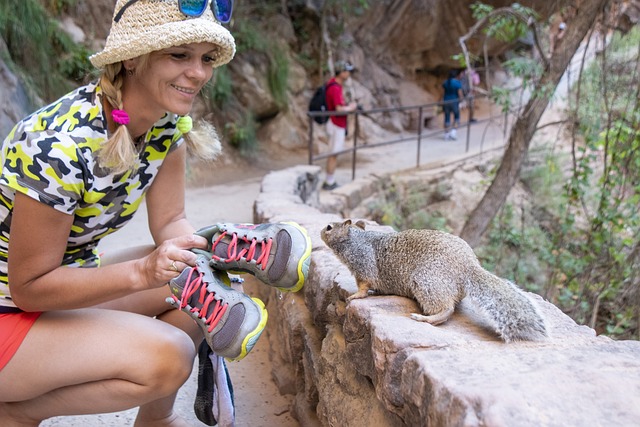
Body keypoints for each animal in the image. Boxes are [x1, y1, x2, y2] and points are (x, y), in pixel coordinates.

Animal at [322, 221, 548, 344]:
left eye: (329, 227)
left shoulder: (363, 266)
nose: (320, 231)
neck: (357, 239)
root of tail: (468, 266)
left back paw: (426, 319)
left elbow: (363, 286)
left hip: (427, 282)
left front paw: (355, 295)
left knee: (447, 309)